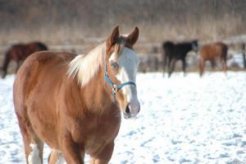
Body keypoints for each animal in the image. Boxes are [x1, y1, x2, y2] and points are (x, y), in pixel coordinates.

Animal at [13, 26, 140, 163]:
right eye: (113, 64)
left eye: (136, 63)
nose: (133, 107)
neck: (90, 104)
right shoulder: (71, 147)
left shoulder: (105, 149)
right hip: (31, 138)